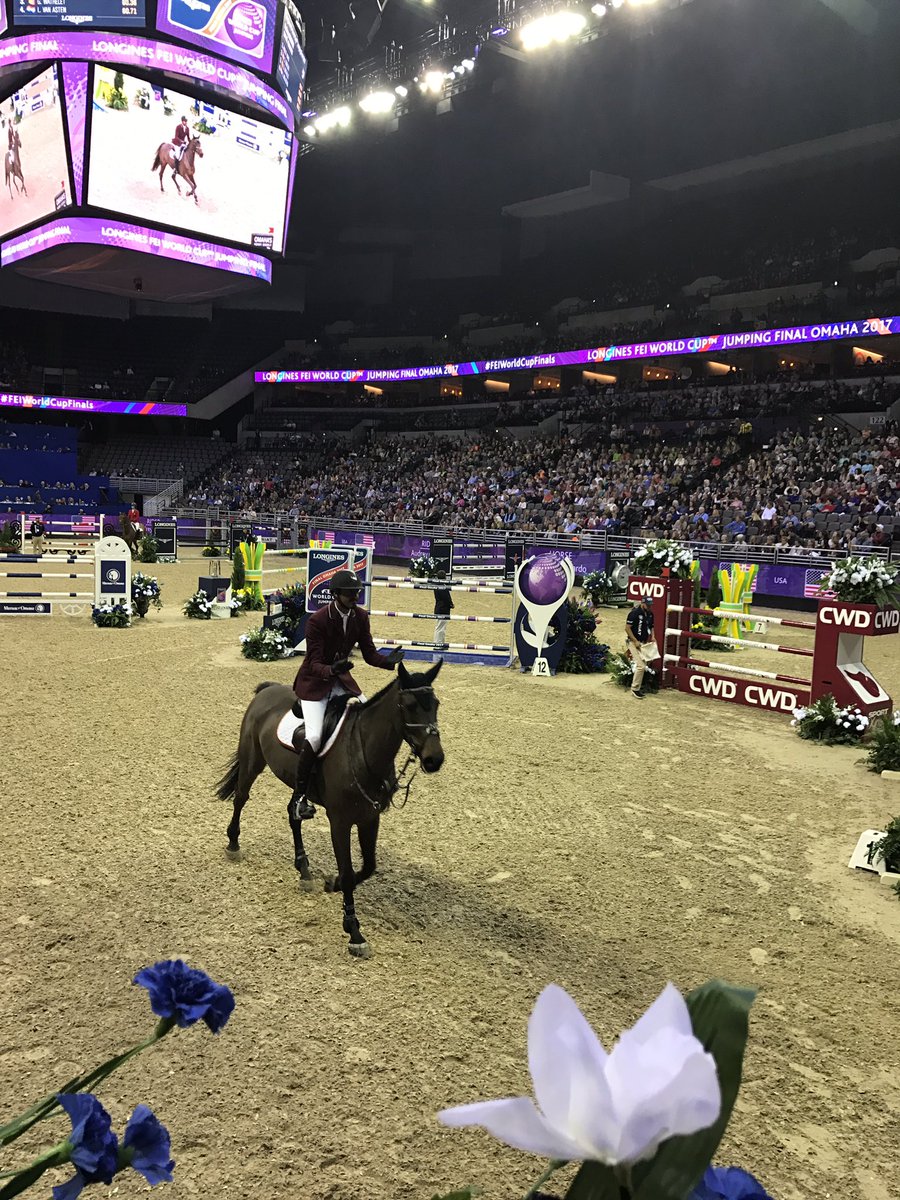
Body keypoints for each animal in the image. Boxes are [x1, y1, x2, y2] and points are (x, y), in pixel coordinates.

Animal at [217, 660, 445, 958]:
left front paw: (332, 884)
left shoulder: (369, 818)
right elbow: (348, 873)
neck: (362, 751)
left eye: (436, 704)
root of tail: (266, 690)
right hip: (252, 760)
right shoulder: (340, 821)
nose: (434, 760)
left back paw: (304, 870)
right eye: (409, 706)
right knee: (241, 798)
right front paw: (354, 931)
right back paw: (233, 844)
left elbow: (369, 866)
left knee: (293, 815)